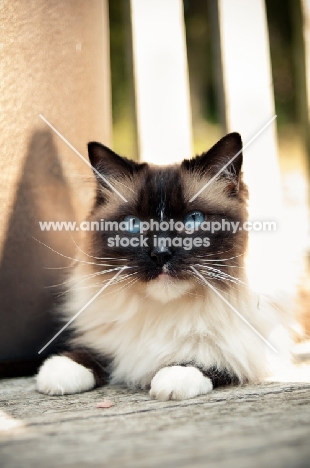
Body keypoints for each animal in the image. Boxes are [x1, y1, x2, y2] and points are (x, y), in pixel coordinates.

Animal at [36, 133, 290, 400]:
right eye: (133, 224)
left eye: (193, 220)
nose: (160, 254)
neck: (164, 314)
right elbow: (88, 354)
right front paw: (59, 374)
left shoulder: (255, 349)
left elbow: (210, 359)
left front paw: (173, 378)